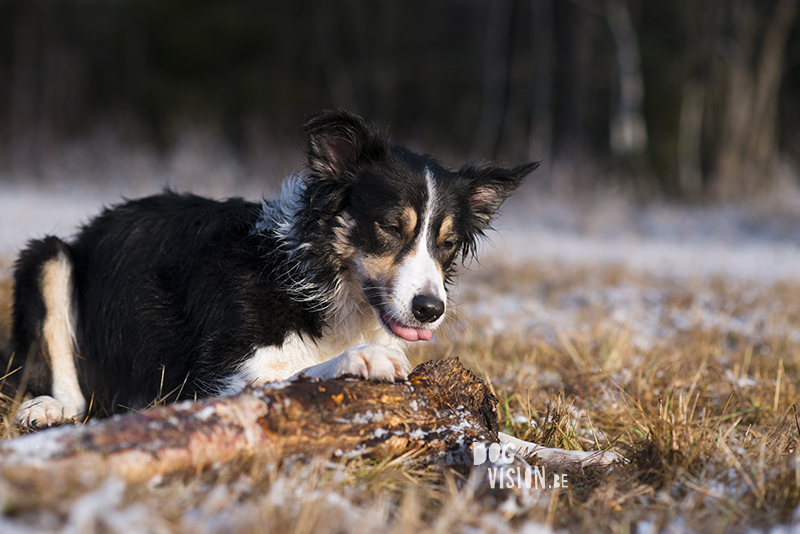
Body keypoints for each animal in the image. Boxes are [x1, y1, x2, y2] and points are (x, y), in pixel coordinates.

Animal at [7, 111, 536, 430]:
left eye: (447, 244)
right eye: (389, 227)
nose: (430, 310)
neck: (321, 280)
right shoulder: (217, 376)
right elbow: (296, 373)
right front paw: (361, 358)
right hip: (47, 256)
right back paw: (50, 407)